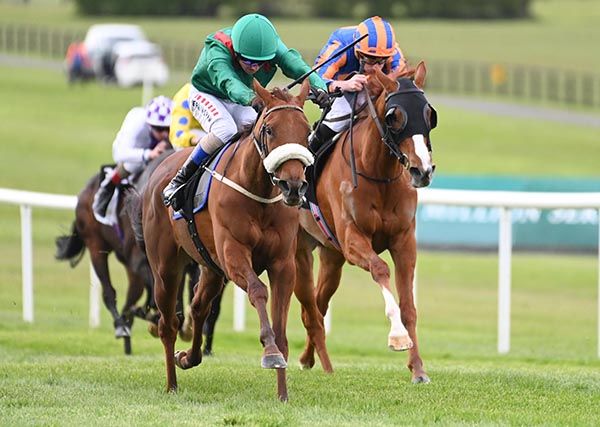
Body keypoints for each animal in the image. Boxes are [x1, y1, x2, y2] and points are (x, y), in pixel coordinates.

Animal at [132, 78, 326, 401]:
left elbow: (281, 327)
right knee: (167, 324)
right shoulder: (234, 254)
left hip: (210, 267)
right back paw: (171, 383)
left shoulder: (282, 263)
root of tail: (159, 170)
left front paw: (283, 393)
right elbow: (258, 290)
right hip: (165, 267)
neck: (258, 192)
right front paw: (270, 352)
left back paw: (188, 357)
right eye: (269, 129)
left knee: (199, 307)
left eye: (306, 131)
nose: (293, 185)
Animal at [294, 62, 436, 384]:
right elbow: (380, 268)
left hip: (331, 257)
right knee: (308, 308)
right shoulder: (352, 239)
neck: (378, 173)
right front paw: (397, 336)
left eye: (429, 115)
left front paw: (418, 368)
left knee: (319, 304)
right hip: (298, 251)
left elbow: (409, 306)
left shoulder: (403, 240)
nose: (422, 170)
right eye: (395, 116)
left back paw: (308, 357)